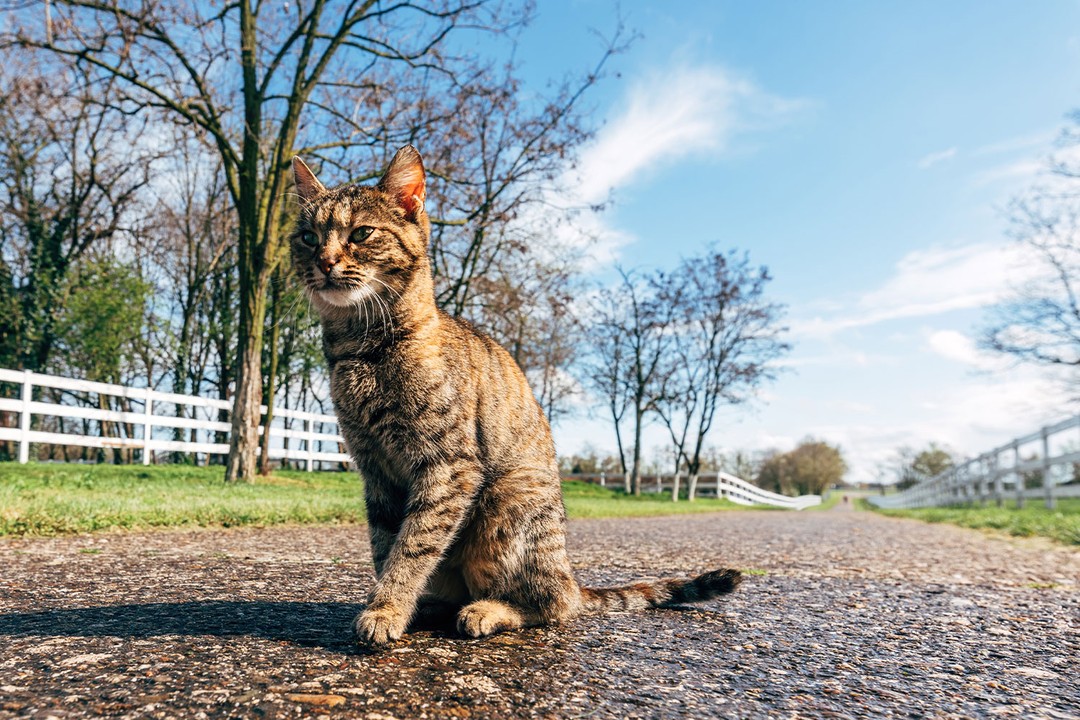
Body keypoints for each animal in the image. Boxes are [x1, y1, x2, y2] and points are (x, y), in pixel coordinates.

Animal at [291, 146, 738, 647]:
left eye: (361, 233)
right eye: (308, 237)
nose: (324, 261)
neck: (360, 351)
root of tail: (573, 574)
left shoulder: (450, 466)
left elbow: (414, 545)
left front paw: (386, 608)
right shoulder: (375, 471)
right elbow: (387, 544)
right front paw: (391, 604)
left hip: (506, 501)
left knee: (556, 603)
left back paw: (488, 610)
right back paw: (434, 607)